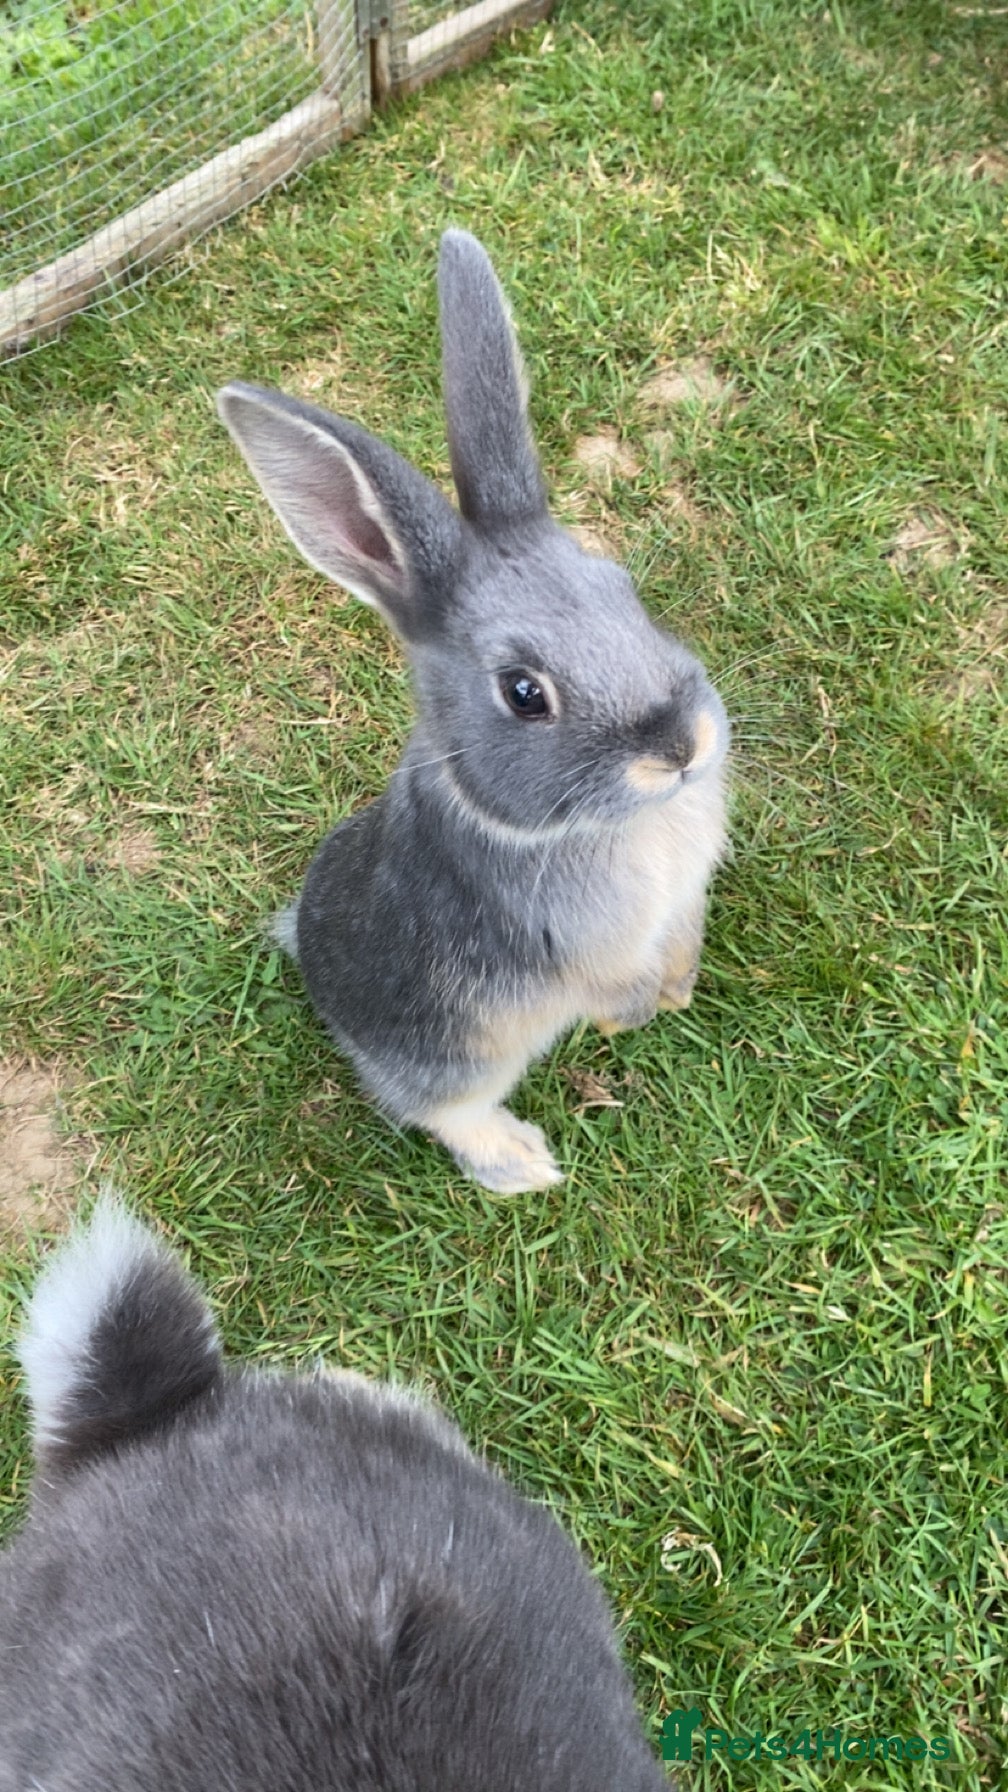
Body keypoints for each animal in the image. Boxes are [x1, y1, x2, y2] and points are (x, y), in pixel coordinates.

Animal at [217, 230, 729, 1193]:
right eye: (524, 693)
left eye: (622, 588)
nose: (682, 747)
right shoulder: (580, 948)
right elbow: (610, 986)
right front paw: (634, 1015)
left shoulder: (682, 900)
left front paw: (678, 991)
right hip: (461, 1052)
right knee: (440, 1111)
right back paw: (523, 1165)